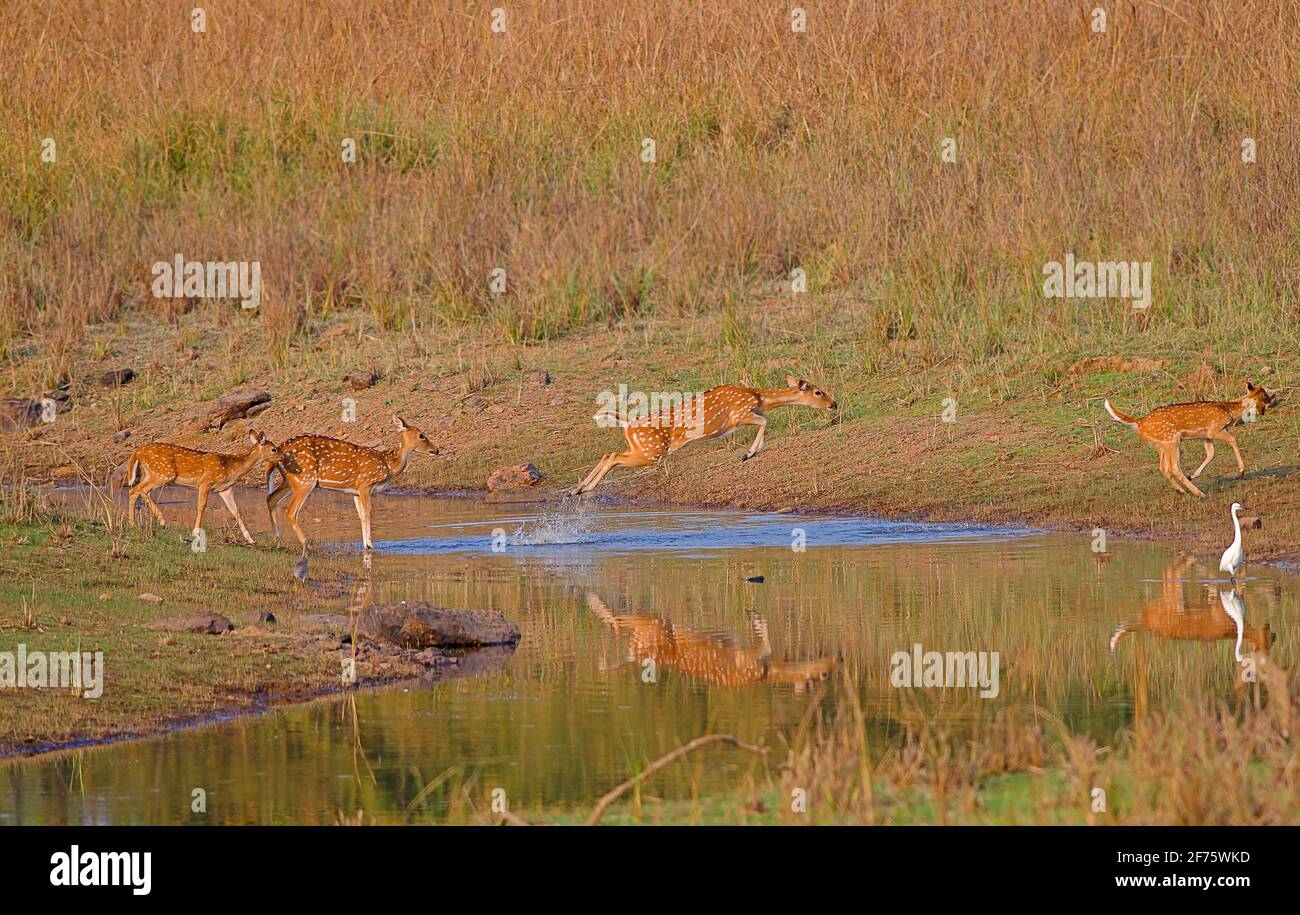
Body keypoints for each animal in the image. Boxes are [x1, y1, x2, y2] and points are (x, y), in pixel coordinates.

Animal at [125, 430, 285, 545]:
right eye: (273, 449)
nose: (283, 457)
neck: (231, 467)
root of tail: (138, 451)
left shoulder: (225, 489)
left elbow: (236, 512)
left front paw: (251, 539)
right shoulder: (205, 482)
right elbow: (201, 506)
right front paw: (196, 533)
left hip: (150, 473)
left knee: (134, 490)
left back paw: (133, 524)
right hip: (164, 473)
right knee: (141, 489)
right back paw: (162, 521)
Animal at [266, 415, 440, 553]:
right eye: (421, 435)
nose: (437, 450)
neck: (388, 465)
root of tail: (279, 449)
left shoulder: (354, 491)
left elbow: (361, 515)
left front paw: (366, 546)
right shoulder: (365, 483)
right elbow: (368, 513)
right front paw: (370, 546)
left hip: (290, 481)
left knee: (271, 498)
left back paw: (277, 542)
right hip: (305, 479)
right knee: (290, 511)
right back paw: (306, 545)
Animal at [569, 375, 837, 496]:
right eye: (818, 392)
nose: (834, 404)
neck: (759, 397)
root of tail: (627, 423)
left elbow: (764, 420)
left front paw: (748, 454)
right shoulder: (739, 414)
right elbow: (765, 420)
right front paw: (748, 454)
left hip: (640, 448)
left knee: (608, 454)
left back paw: (578, 489)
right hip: (652, 451)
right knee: (612, 456)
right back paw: (582, 488)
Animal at [1103, 382, 1276, 497]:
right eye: (1265, 396)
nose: (1267, 407)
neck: (1231, 411)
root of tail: (1139, 422)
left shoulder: (1206, 436)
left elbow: (1211, 454)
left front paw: (1193, 475)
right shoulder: (1215, 429)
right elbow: (1233, 440)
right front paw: (1240, 472)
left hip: (1163, 444)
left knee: (1163, 467)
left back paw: (1181, 490)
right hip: (1172, 440)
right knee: (1173, 467)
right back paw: (1199, 493)